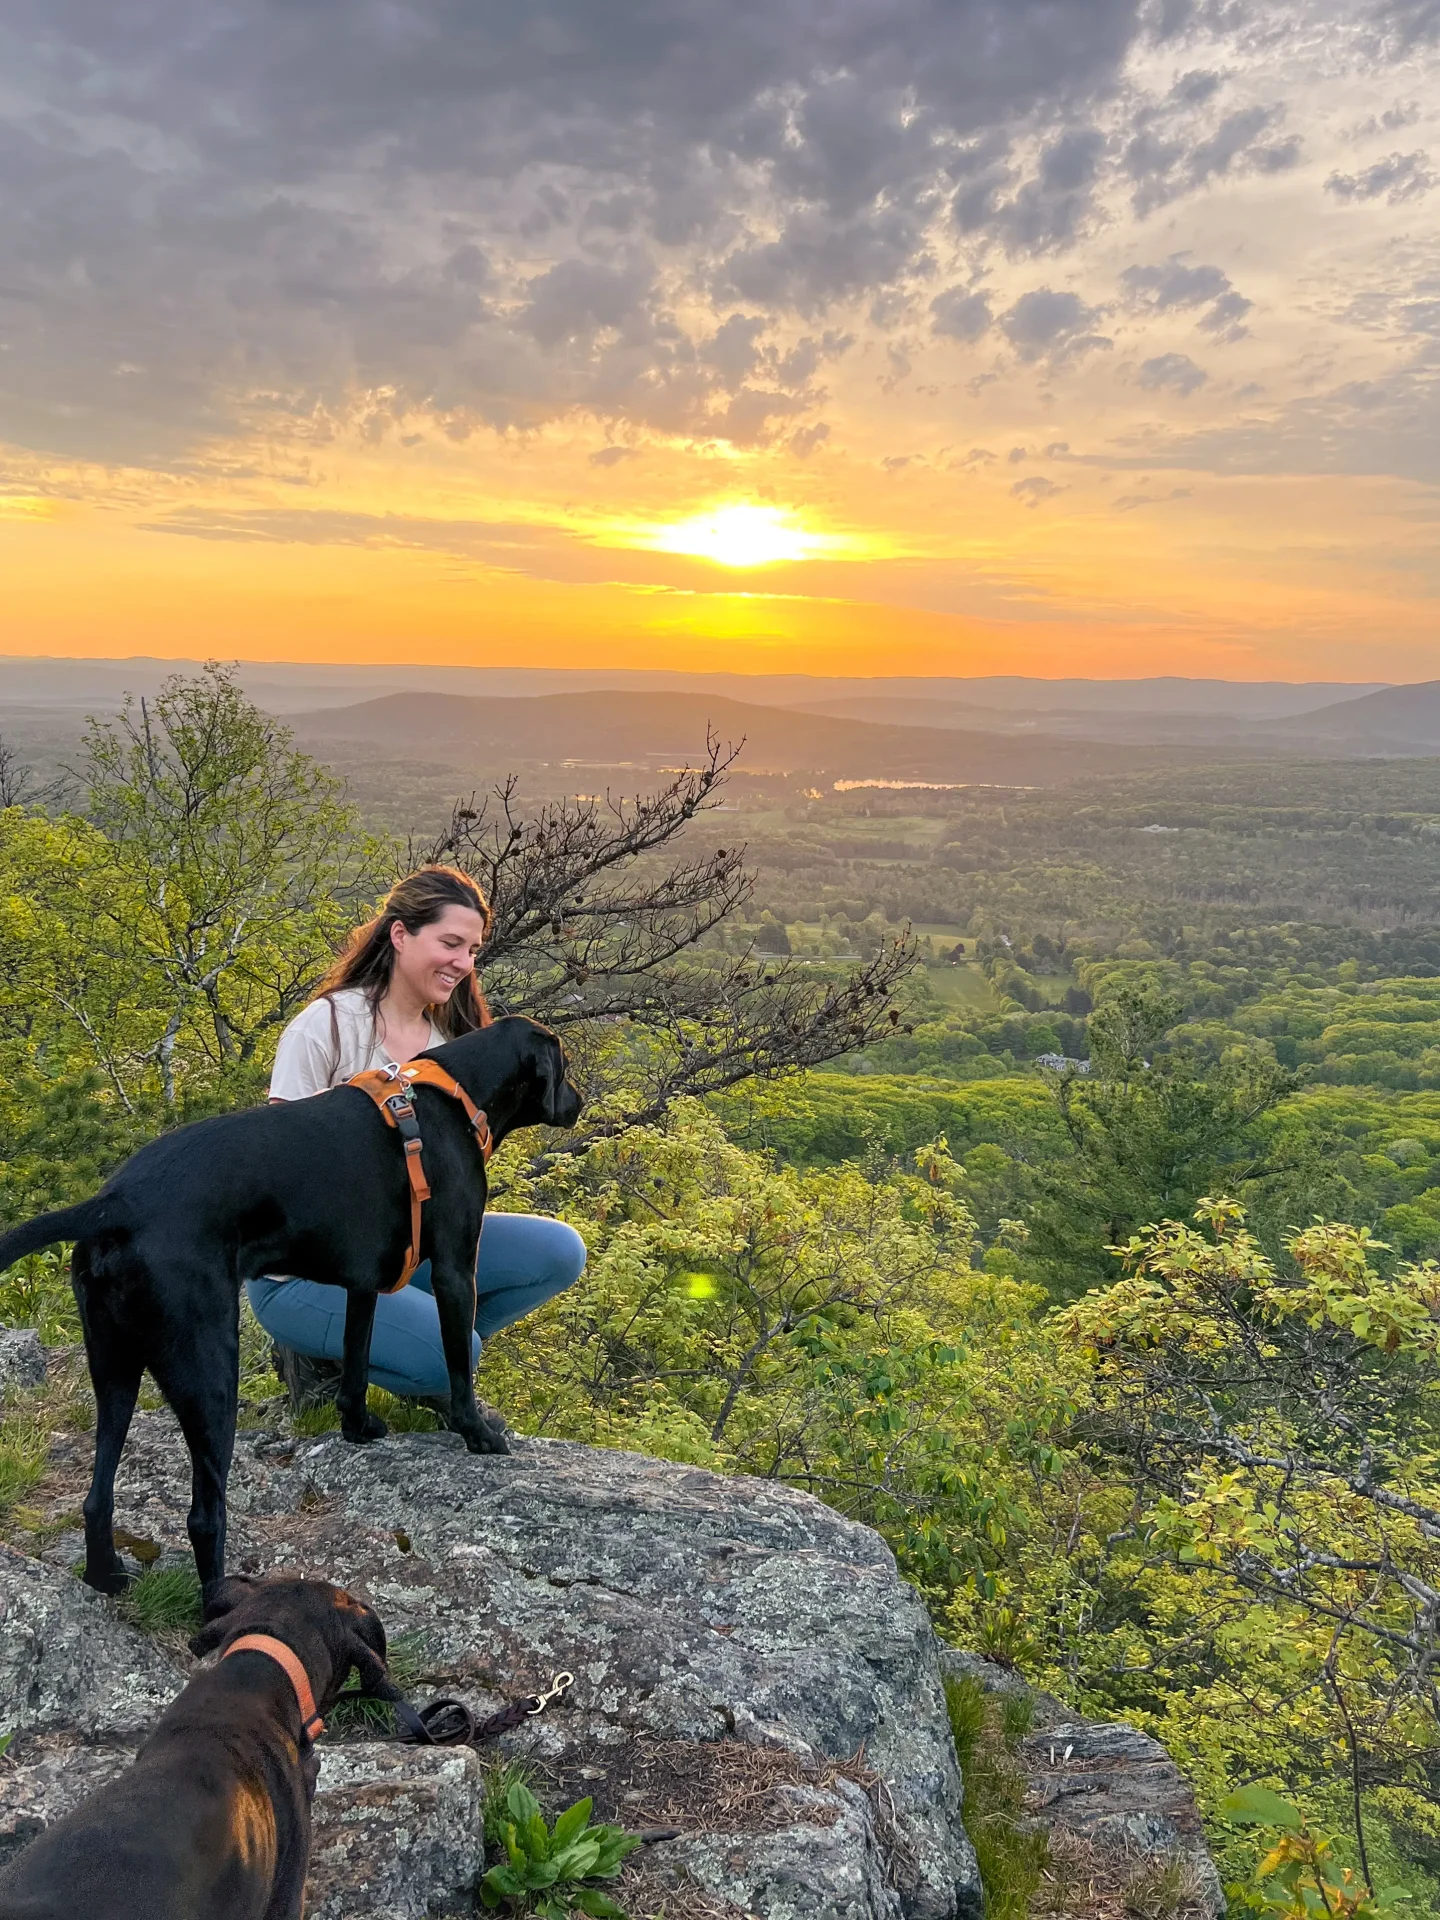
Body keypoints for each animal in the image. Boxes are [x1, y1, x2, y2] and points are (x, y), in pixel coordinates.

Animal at [0, 1013, 579, 1597]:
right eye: (564, 1066)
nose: (577, 1104)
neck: (457, 1092)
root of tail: (114, 1203)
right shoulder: (456, 1270)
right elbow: (460, 1363)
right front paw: (478, 1433)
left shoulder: (363, 1283)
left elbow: (355, 1362)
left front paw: (357, 1427)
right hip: (209, 1369)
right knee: (204, 1514)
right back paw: (219, 1602)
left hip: (113, 1366)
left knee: (96, 1496)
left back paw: (106, 1574)